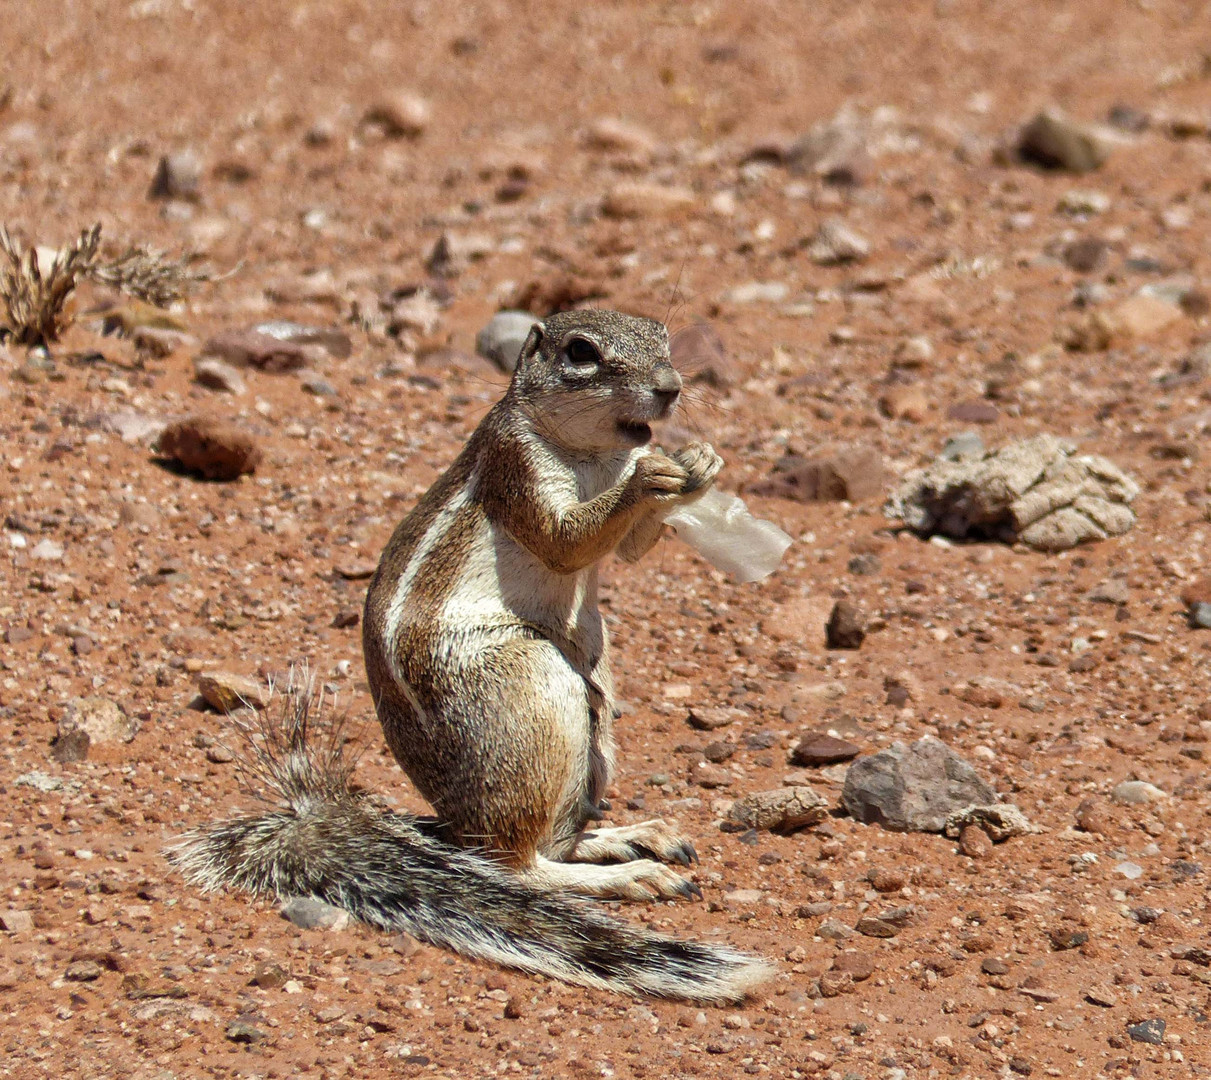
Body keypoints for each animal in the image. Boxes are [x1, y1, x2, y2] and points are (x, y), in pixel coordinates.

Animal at [175, 307, 770, 997]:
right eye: (581, 353)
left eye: (663, 338)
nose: (671, 389)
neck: (598, 453)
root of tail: (454, 821)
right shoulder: (517, 466)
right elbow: (565, 540)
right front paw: (654, 477)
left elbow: (625, 548)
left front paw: (701, 461)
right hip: (528, 693)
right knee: (515, 863)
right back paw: (628, 875)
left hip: (592, 745)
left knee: (542, 842)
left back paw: (628, 838)